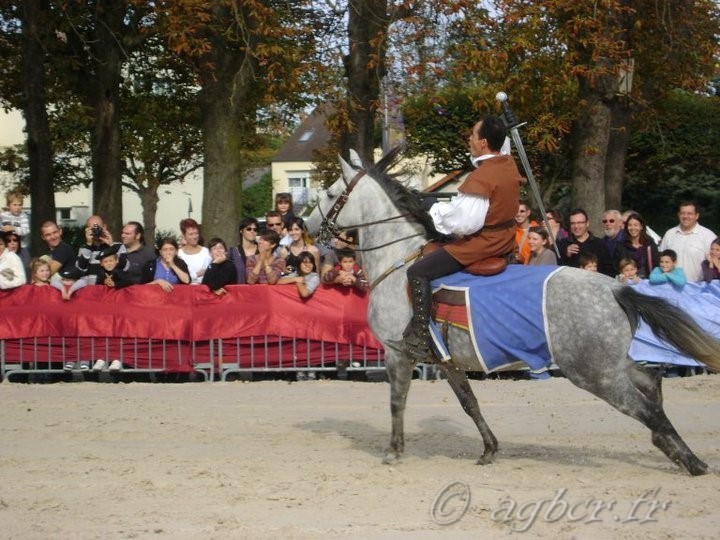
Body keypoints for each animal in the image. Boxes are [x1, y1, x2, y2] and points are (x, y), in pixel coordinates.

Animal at [308, 147, 720, 472]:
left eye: (329, 192)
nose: (311, 226)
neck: (398, 260)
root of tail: (615, 287)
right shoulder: (448, 361)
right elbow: (469, 403)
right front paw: (489, 449)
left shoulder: (398, 354)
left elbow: (397, 402)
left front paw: (394, 451)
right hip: (609, 364)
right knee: (651, 382)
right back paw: (675, 451)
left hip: (594, 374)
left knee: (646, 408)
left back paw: (691, 461)